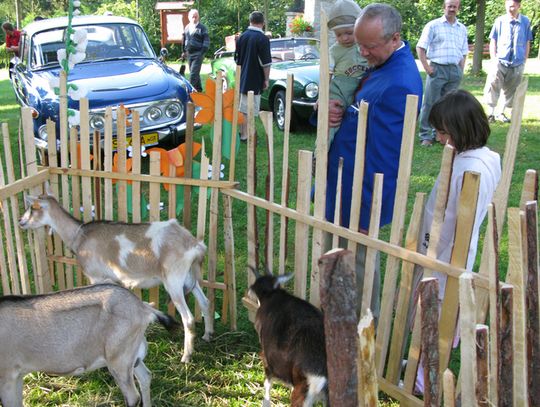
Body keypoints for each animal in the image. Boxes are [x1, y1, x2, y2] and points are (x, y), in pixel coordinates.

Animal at [0, 284, 179, 407]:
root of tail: (143, 308)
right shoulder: (17, 375)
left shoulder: (7, 376)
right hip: (130, 358)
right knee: (145, 377)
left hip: (119, 360)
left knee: (133, 397)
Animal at [19, 194, 213, 364]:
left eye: (32, 208)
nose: (21, 222)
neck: (79, 235)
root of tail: (195, 245)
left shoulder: (96, 276)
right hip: (189, 279)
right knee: (205, 302)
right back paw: (208, 335)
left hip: (173, 280)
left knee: (188, 318)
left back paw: (186, 356)